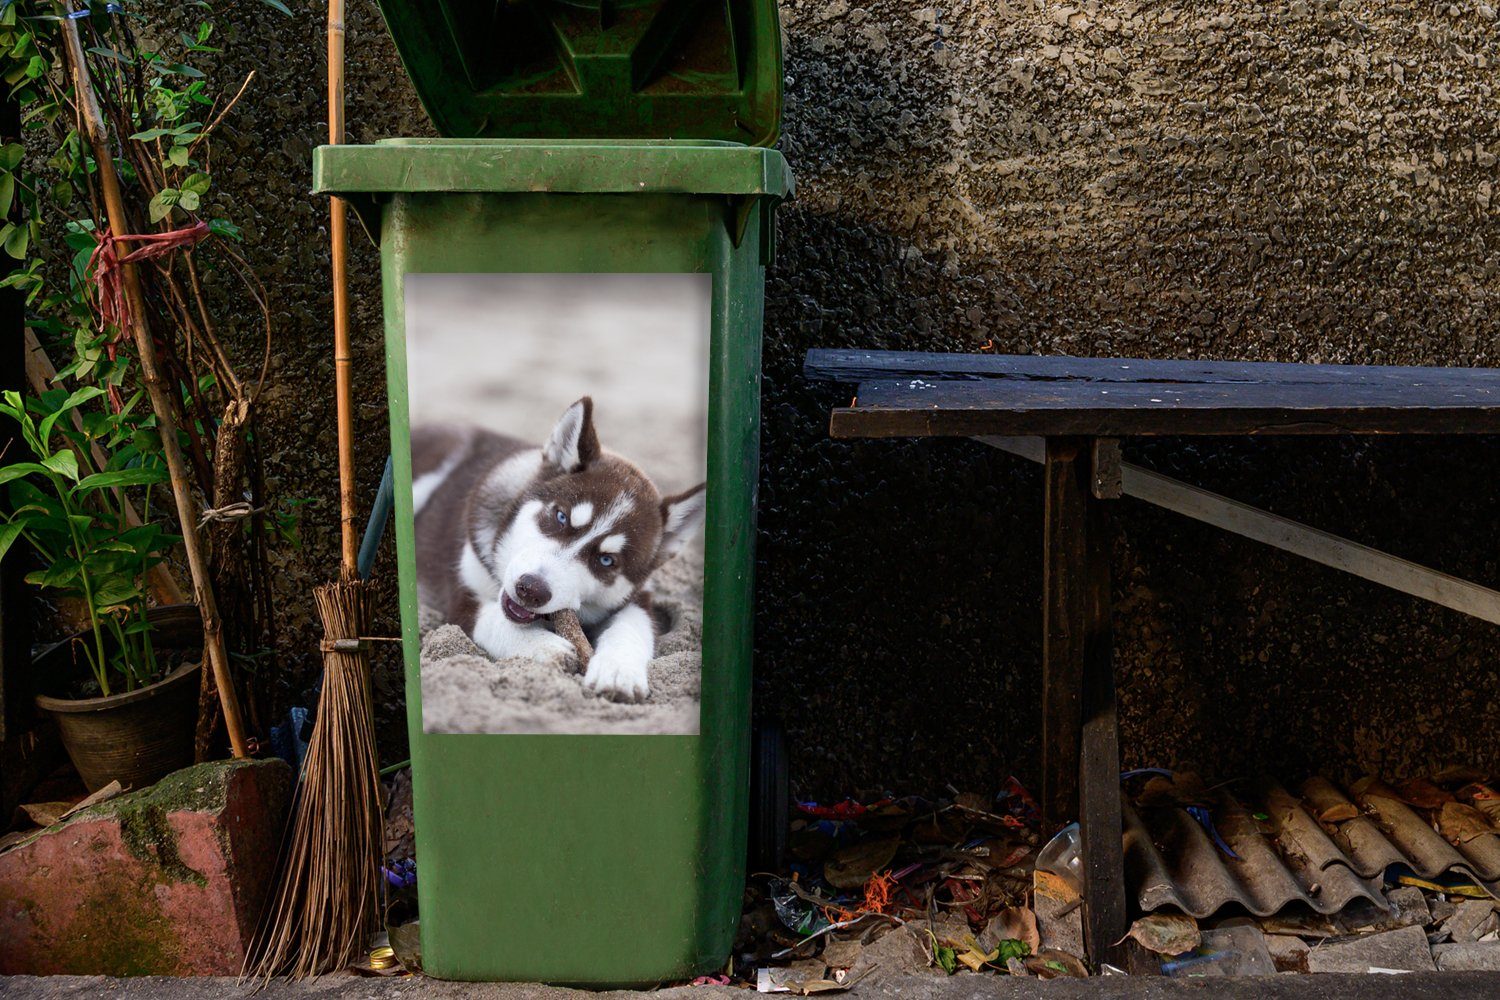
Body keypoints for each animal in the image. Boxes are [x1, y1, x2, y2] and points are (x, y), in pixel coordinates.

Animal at [411, 398, 708, 704]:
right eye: (561, 517)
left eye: (606, 560)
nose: (530, 589)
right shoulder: (463, 597)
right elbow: (493, 620)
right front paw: (543, 644)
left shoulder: (638, 598)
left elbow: (632, 627)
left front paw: (618, 671)